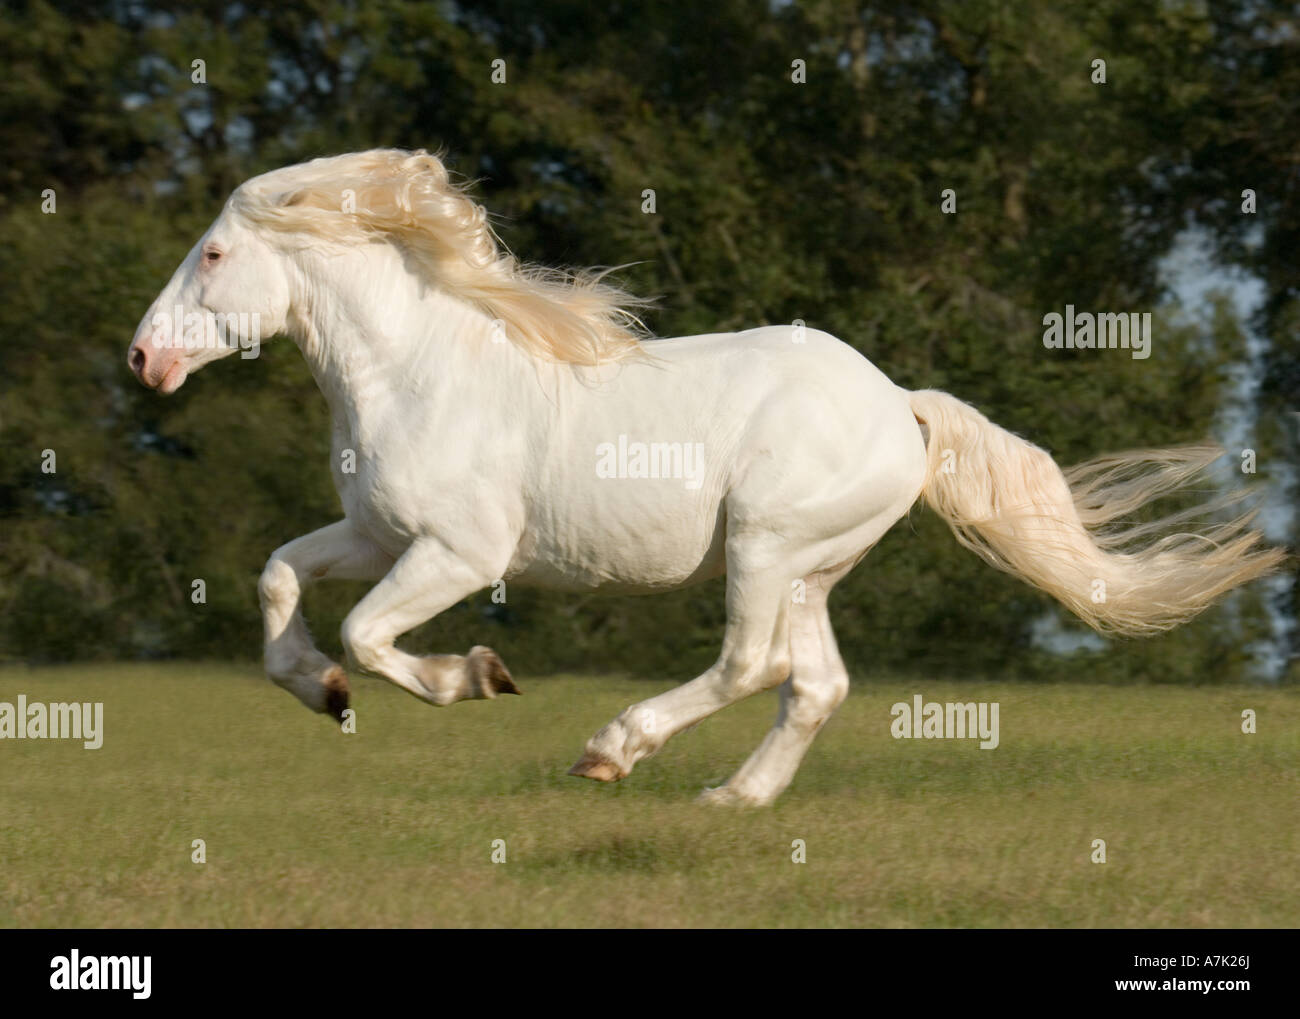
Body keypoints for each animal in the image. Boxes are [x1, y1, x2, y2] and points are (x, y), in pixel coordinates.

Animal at [126, 149, 1284, 805]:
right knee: (812, 684)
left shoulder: (459, 550)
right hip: (811, 566)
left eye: (214, 256)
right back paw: (733, 799)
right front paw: (316, 688)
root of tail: (900, 406)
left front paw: (477, 676)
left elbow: (371, 635)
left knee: (750, 663)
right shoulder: (375, 533)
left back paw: (611, 751)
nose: (143, 359)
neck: (419, 370)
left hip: (766, 545)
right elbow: (280, 576)